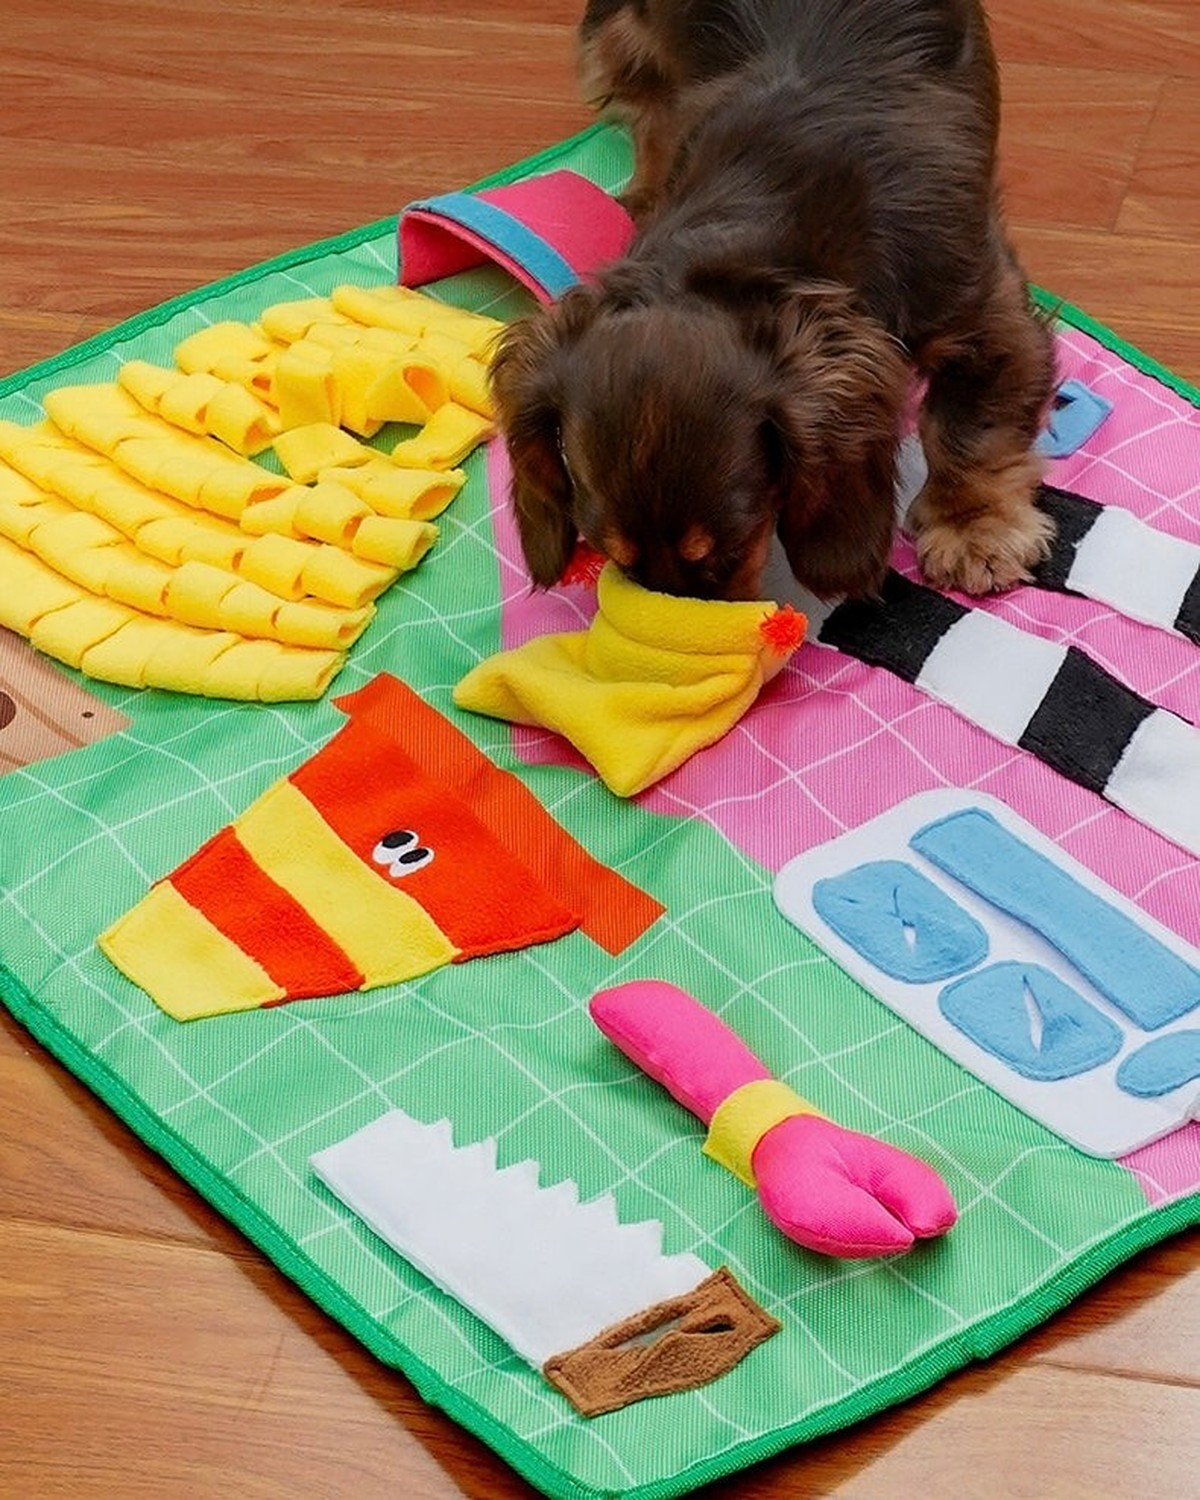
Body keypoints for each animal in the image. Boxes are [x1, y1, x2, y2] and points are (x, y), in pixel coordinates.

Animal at [492, 1, 1056, 597]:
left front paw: (973, 530)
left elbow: (969, 430)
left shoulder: (982, 312)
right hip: (618, 38)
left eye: (731, 547)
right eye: (615, 557)